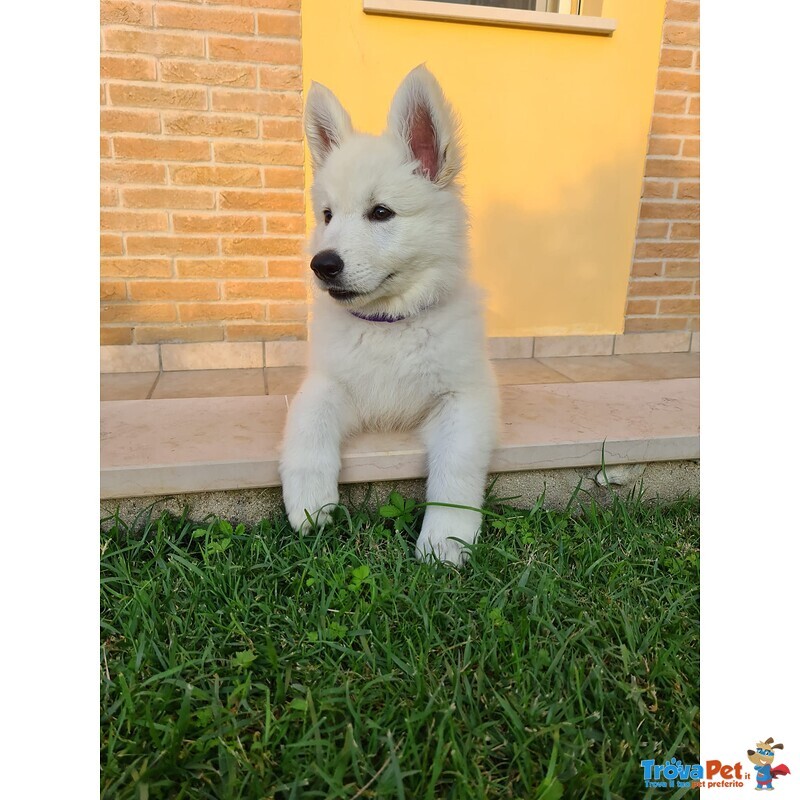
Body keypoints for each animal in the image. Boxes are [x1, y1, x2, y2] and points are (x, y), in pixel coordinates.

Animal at [278, 65, 496, 564]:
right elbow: (307, 424)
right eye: (327, 215)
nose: (322, 265)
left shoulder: (466, 395)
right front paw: (310, 501)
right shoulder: (329, 382)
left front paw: (446, 538)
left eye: (381, 212)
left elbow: (456, 465)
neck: (388, 326)